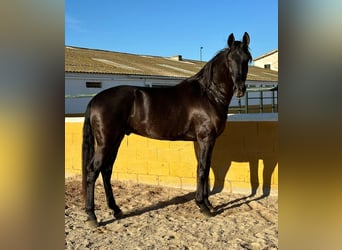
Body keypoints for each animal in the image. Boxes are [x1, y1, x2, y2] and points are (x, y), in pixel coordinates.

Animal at [82, 32, 251, 227]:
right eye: (230, 59)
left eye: (247, 59)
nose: (240, 89)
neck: (209, 95)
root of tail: (95, 99)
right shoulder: (206, 138)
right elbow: (202, 169)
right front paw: (203, 206)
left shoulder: (205, 141)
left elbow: (206, 168)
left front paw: (208, 203)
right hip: (106, 143)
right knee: (93, 170)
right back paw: (92, 216)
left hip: (115, 141)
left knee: (106, 170)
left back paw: (116, 209)